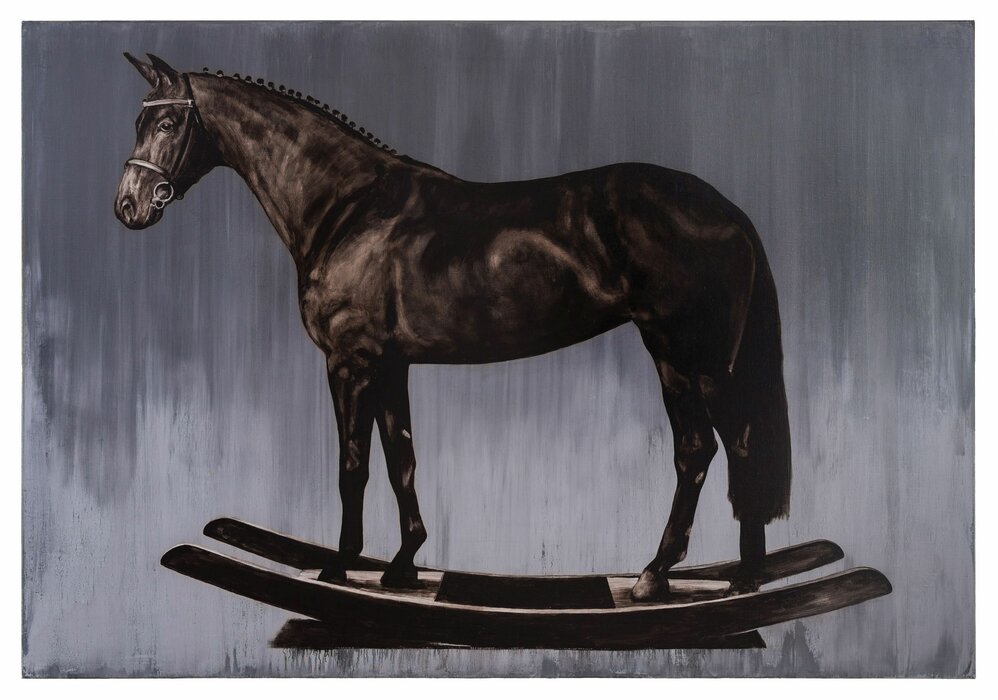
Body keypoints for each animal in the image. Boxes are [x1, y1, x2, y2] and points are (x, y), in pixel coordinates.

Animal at [114, 53, 791, 601]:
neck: (349, 207)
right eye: (141, 122)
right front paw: (403, 564)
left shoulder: (348, 363)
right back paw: (696, 574)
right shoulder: (390, 364)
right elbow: (401, 459)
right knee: (708, 449)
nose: (129, 206)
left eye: (168, 123)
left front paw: (339, 566)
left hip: (694, 357)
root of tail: (727, 210)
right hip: (679, 360)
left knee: (726, 447)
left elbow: (352, 465)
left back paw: (711, 577)